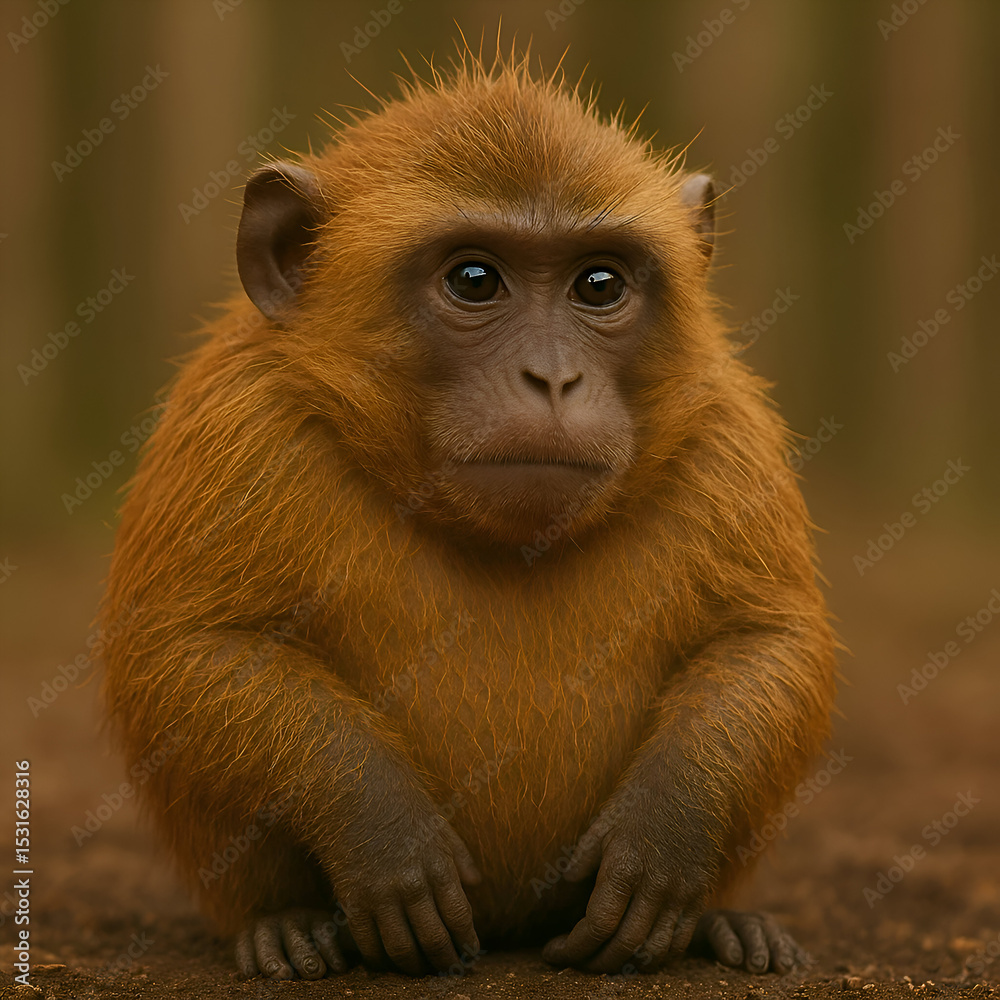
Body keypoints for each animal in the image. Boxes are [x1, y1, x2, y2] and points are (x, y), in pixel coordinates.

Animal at [101, 51, 837, 982]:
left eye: (600, 284)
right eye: (474, 279)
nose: (553, 379)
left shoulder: (723, 426)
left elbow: (768, 640)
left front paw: (665, 833)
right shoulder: (240, 419)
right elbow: (187, 647)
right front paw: (381, 831)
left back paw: (721, 923)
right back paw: (287, 923)